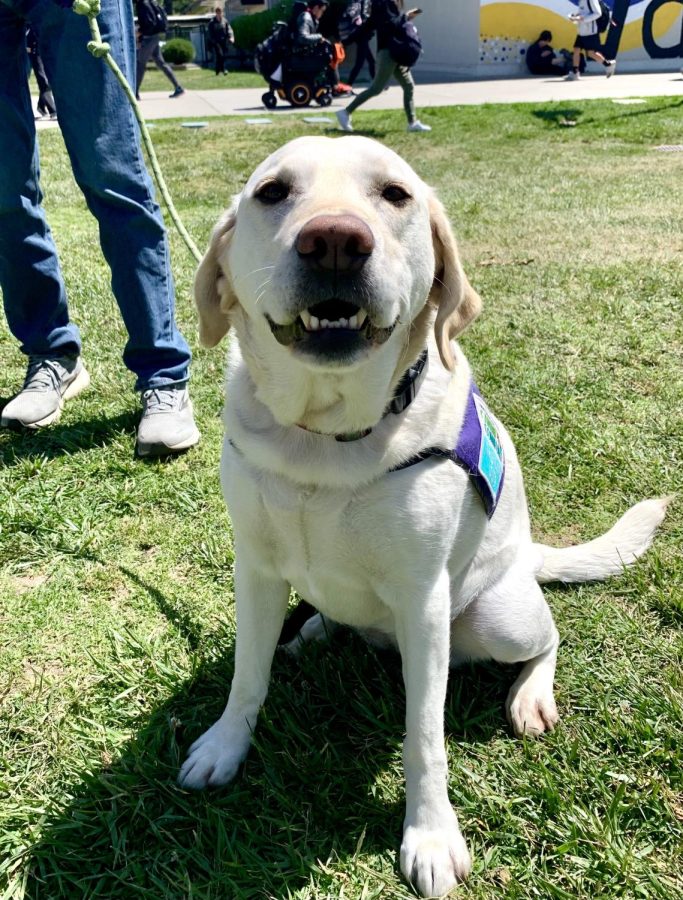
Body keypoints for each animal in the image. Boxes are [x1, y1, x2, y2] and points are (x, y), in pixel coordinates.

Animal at [182, 137, 668, 896]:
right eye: (272, 192)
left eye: (394, 195)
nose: (334, 242)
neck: (325, 436)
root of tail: (528, 553)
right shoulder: (254, 569)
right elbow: (245, 677)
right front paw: (225, 746)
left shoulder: (422, 600)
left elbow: (424, 735)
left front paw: (431, 835)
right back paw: (315, 629)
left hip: (499, 615)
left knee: (547, 638)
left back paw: (530, 694)